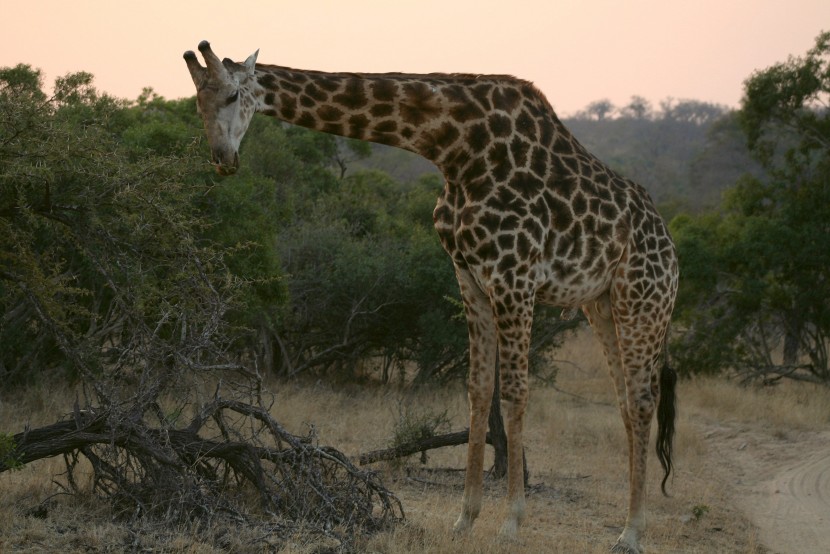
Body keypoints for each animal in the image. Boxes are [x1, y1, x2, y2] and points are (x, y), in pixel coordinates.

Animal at [185, 41, 680, 548]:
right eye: (197, 103)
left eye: (231, 95)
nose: (223, 159)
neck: (455, 147)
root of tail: (668, 243)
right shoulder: (469, 275)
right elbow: (478, 390)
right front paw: (466, 517)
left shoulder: (515, 275)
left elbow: (515, 394)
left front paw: (511, 521)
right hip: (601, 305)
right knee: (626, 402)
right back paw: (628, 524)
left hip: (643, 300)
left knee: (644, 400)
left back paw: (632, 533)